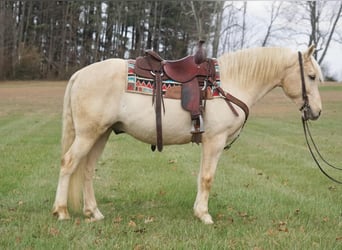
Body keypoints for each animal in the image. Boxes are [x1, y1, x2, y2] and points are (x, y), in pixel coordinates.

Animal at [52, 45, 322, 225]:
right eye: (310, 77)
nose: (317, 111)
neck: (230, 83)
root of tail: (79, 74)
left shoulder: (208, 141)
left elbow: (201, 177)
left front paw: (198, 211)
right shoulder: (215, 140)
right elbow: (208, 178)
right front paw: (204, 215)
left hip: (101, 134)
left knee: (87, 170)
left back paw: (93, 212)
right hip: (88, 134)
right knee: (68, 163)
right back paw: (61, 211)